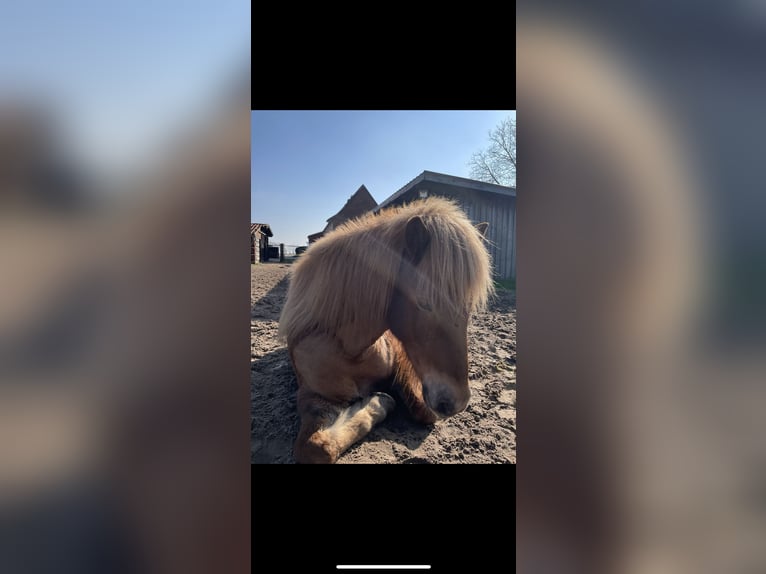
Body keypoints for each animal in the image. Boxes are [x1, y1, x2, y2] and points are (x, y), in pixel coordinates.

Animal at [278, 196, 494, 463]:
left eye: (470, 308)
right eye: (425, 302)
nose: (457, 402)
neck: (350, 350)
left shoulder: (401, 362)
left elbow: (425, 411)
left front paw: (380, 401)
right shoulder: (310, 395)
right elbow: (316, 447)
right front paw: (377, 403)